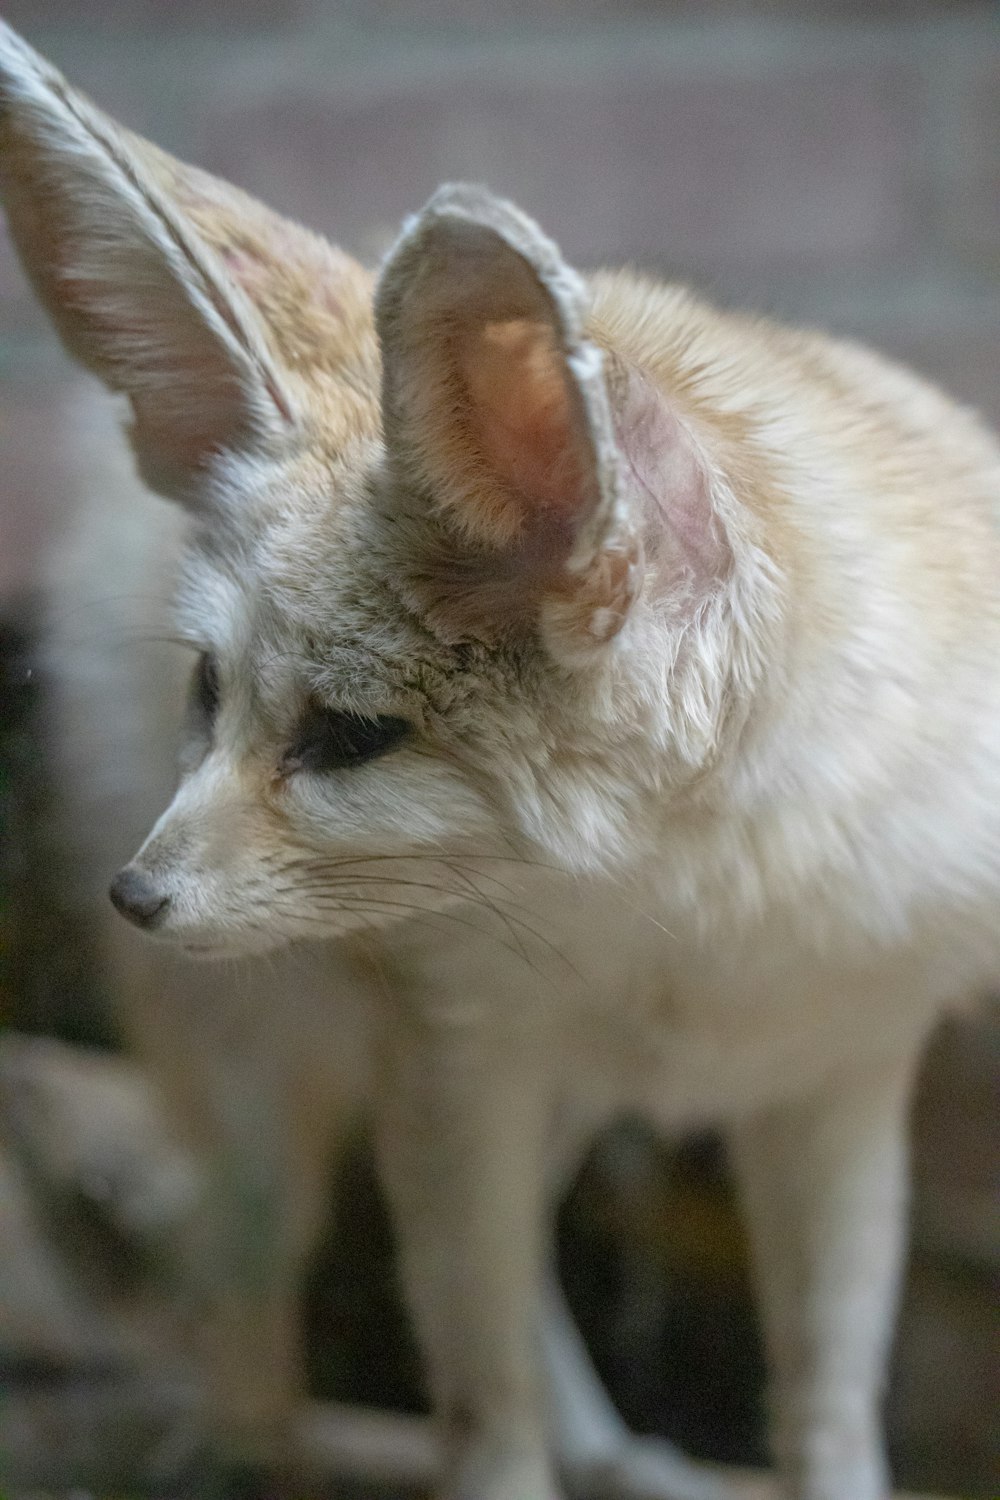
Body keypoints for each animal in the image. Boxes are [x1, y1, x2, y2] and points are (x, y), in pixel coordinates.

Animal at [3, 20, 995, 1500]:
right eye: (209, 693)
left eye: (350, 737)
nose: (133, 897)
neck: (686, 919)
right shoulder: (459, 1061)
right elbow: (476, 1389)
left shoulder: (837, 1073)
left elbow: (824, 1389)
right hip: (274, 1061)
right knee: (252, 1242)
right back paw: (244, 1437)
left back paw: (610, 1451)